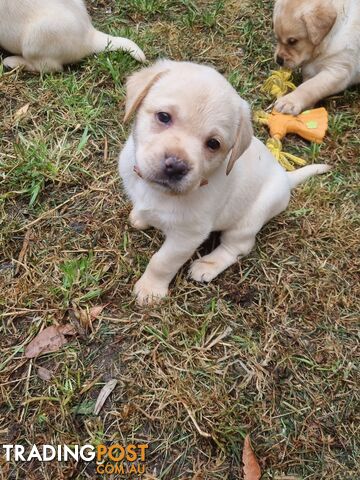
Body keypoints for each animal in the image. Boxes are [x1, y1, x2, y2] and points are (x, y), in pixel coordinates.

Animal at [119, 60, 330, 306]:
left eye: (213, 144)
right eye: (163, 117)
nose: (176, 166)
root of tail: (285, 177)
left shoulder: (187, 236)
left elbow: (162, 262)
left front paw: (150, 290)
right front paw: (141, 217)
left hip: (248, 220)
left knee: (238, 247)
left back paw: (207, 265)